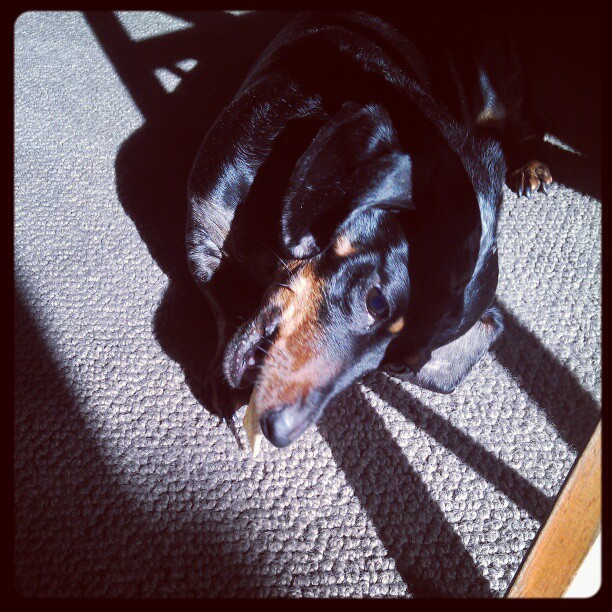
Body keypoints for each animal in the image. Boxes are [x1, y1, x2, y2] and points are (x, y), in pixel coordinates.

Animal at [186, 12, 552, 448]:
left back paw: (531, 166)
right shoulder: (202, 227)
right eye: (375, 302)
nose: (280, 432)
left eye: (397, 367)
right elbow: (220, 294)